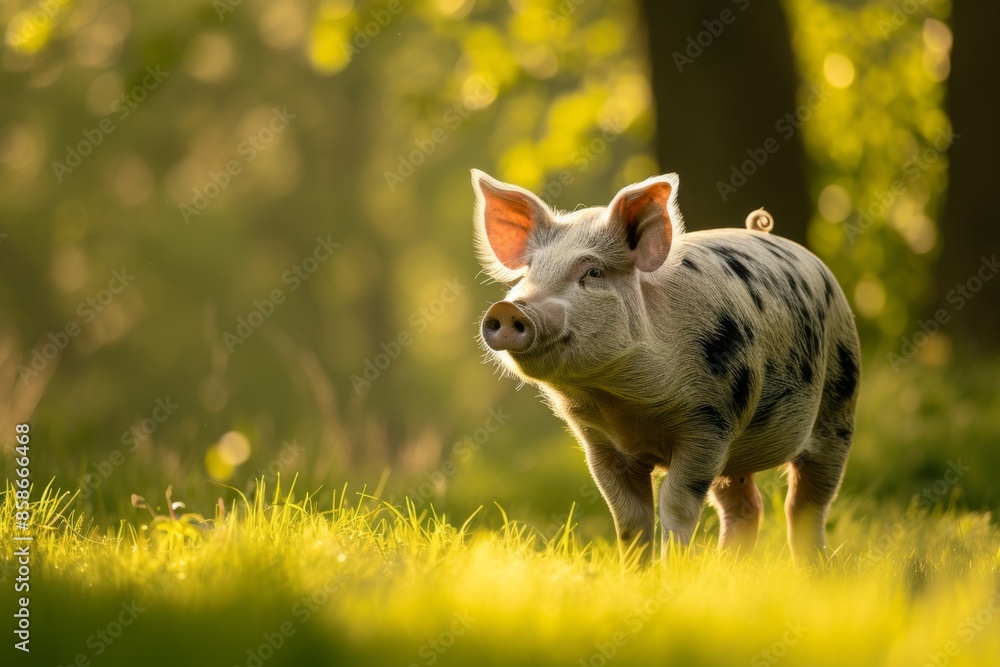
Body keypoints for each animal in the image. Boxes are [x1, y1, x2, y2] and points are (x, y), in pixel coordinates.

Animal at [472, 169, 859, 564]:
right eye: (531, 271)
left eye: (593, 272)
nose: (509, 309)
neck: (621, 402)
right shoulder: (597, 441)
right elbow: (628, 518)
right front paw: (635, 572)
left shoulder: (709, 424)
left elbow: (676, 505)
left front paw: (673, 568)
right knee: (746, 506)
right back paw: (728, 568)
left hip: (839, 405)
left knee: (806, 506)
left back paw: (811, 568)